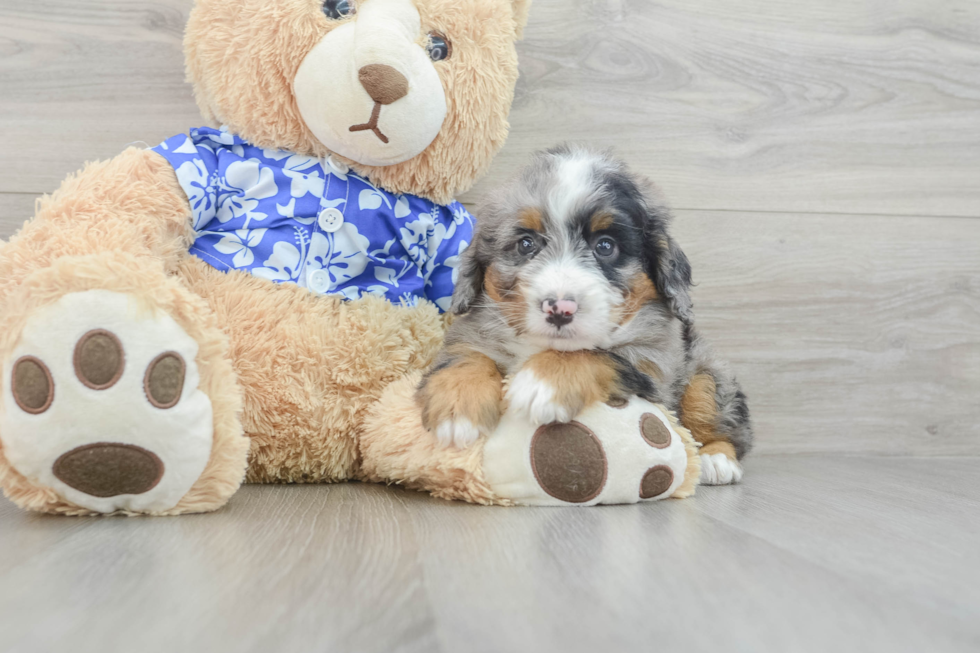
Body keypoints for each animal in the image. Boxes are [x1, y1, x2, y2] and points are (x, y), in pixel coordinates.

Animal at [418, 146, 756, 484]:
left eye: (605, 246)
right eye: (526, 244)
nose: (559, 309)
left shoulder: (654, 362)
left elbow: (594, 354)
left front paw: (540, 384)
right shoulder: (473, 331)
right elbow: (468, 356)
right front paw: (457, 409)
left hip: (707, 371)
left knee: (719, 417)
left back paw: (716, 459)